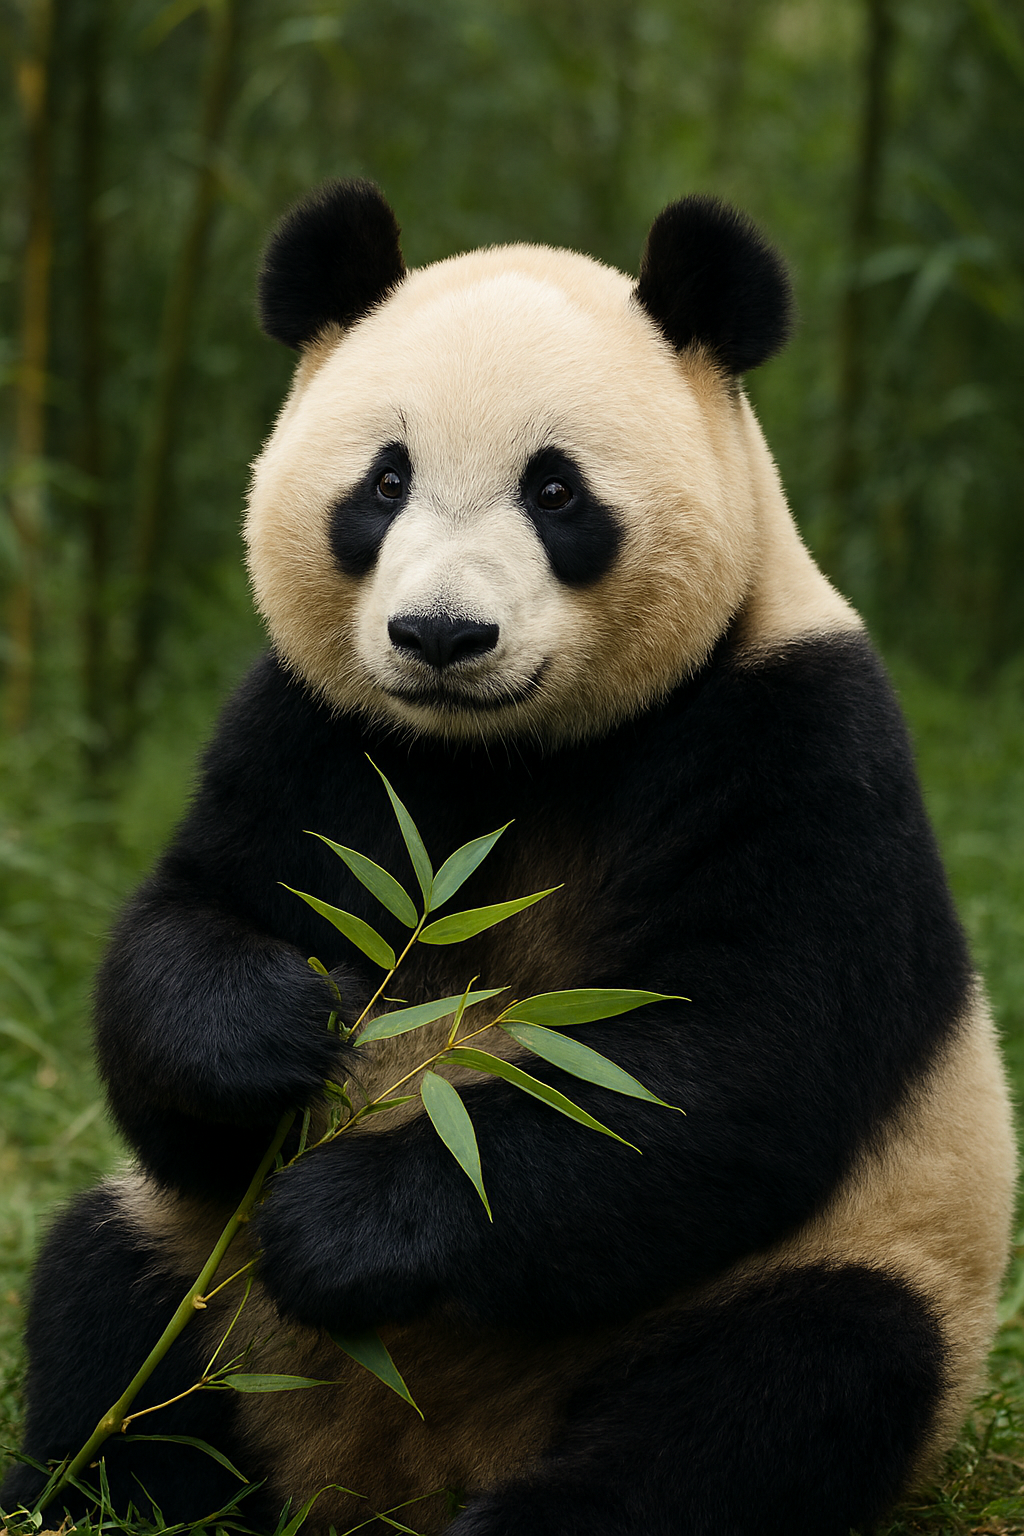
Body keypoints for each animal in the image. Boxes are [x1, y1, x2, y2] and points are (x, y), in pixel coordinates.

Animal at [2, 180, 1015, 1536]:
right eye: (384, 481)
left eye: (555, 492)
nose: (440, 634)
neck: (504, 755)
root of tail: (391, 1473)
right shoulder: (319, 733)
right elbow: (186, 942)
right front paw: (268, 1028)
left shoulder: (795, 736)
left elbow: (715, 1062)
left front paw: (344, 1221)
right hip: (211, 1294)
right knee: (107, 1291)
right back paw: (112, 1490)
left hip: (851, 1270)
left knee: (783, 1391)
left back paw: (543, 1512)